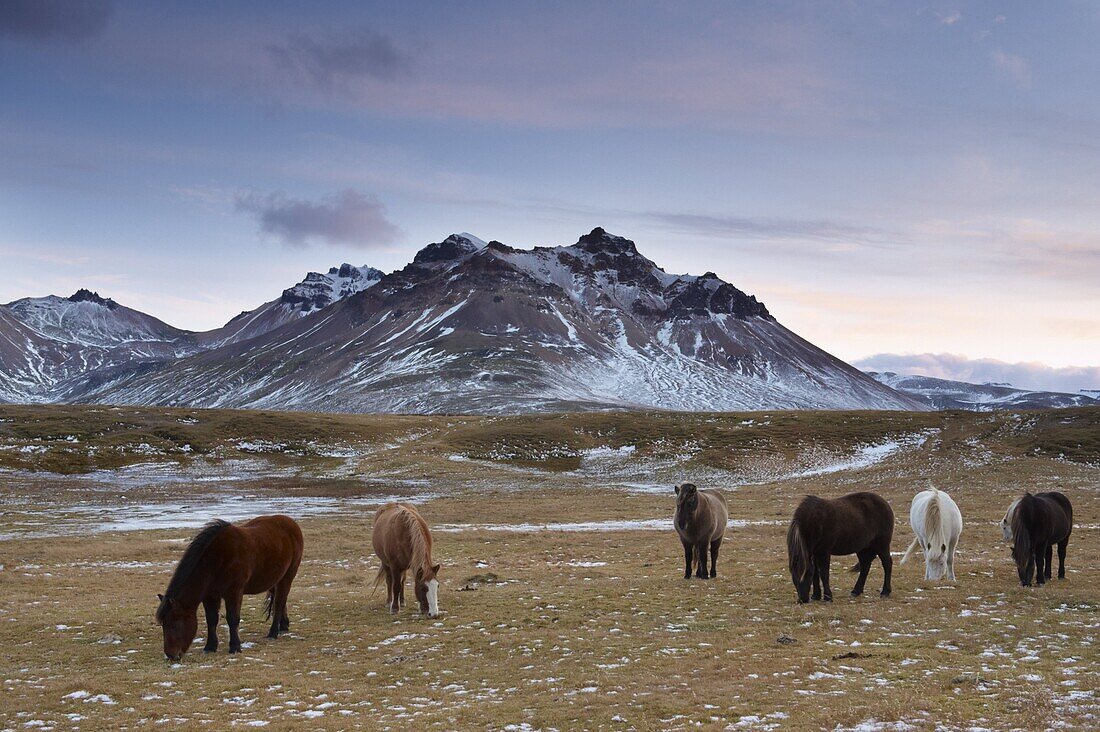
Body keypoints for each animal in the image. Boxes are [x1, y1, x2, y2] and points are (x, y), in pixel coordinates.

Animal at [155, 512, 301, 660]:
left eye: (174, 624)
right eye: (163, 625)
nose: (170, 655)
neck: (217, 560)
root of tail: (290, 522)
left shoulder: (234, 593)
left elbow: (232, 618)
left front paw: (235, 647)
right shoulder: (210, 596)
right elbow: (211, 619)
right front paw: (210, 647)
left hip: (287, 577)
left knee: (278, 603)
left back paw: (273, 633)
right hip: (274, 579)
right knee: (281, 600)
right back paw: (283, 626)